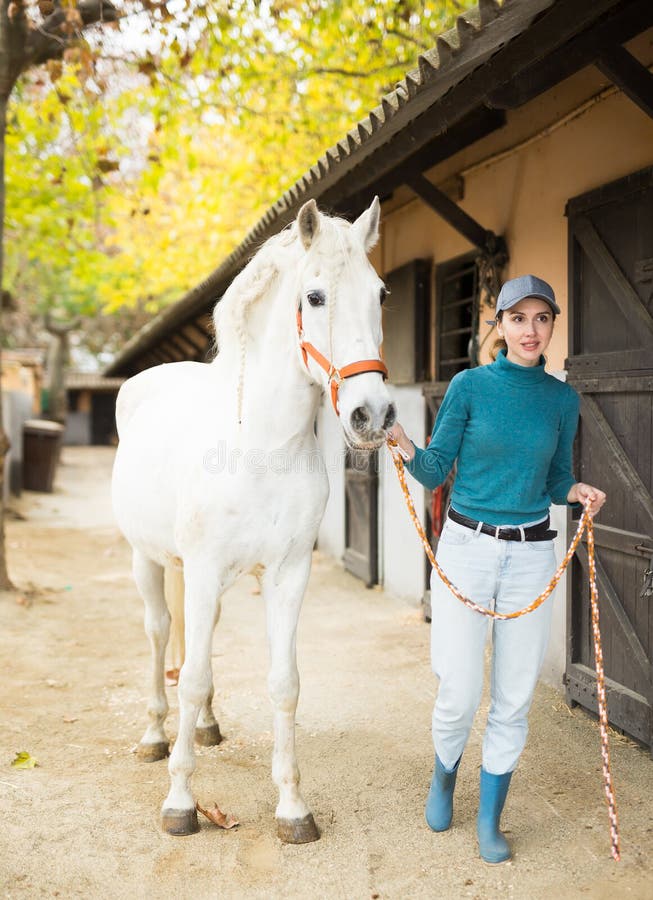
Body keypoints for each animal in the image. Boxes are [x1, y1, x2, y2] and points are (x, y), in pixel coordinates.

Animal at [111, 199, 392, 844]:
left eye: (381, 293)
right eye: (314, 296)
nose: (373, 414)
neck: (259, 447)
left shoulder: (287, 575)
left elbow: (284, 684)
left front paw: (292, 807)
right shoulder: (204, 569)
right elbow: (188, 677)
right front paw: (180, 803)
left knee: (197, 640)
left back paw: (206, 726)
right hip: (146, 561)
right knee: (160, 635)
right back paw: (155, 735)